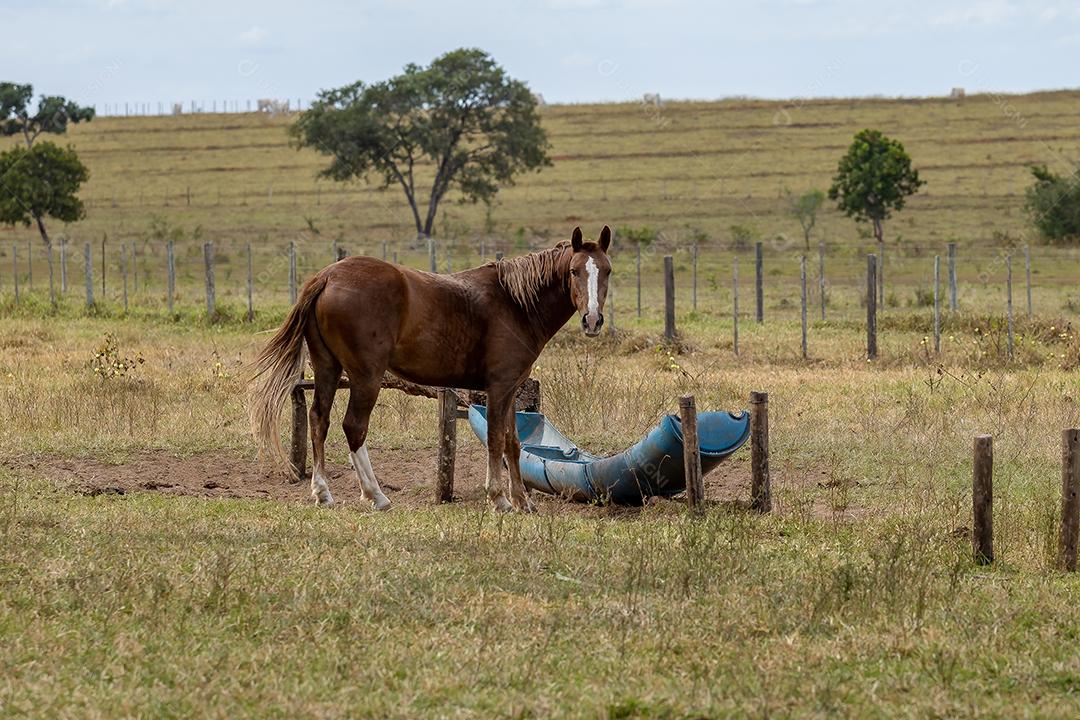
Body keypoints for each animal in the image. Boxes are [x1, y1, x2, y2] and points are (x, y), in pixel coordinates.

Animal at [249, 226, 612, 513]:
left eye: (606, 271)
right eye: (574, 271)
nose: (592, 320)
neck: (515, 303)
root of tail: (327, 276)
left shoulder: (510, 389)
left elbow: (513, 442)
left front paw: (523, 502)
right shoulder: (499, 388)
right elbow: (496, 439)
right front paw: (499, 499)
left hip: (328, 368)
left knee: (319, 420)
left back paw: (323, 492)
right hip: (366, 377)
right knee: (354, 427)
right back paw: (376, 495)